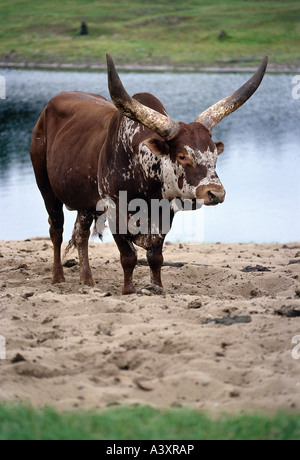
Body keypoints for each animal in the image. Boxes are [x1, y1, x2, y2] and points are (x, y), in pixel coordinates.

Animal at [30, 54, 268, 294]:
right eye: (182, 156)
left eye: (214, 155)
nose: (216, 193)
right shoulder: (114, 211)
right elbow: (128, 257)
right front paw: (128, 291)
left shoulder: (165, 214)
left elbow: (156, 257)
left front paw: (157, 287)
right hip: (45, 187)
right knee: (56, 229)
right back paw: (58, 276)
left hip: (85, 201)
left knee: (81, 234)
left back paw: (87, 280)